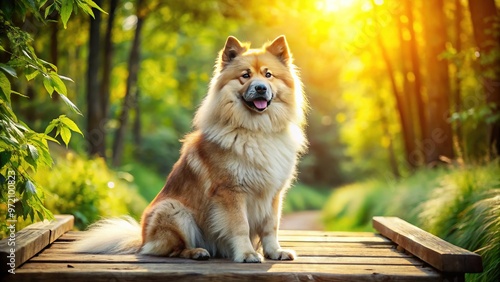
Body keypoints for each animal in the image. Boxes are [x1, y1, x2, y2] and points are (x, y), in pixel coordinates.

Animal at [73, 35, 308, 262]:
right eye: (245, 75)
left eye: (268, 75)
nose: (260, 88)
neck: (256, 130)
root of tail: (142, 239)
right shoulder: (231, 191)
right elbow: (241, 226)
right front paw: (247, 254)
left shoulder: (273, 193)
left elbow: (271, 227)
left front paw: (274, 252)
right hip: (174, 210)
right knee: (171, 249)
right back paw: (196, 252)